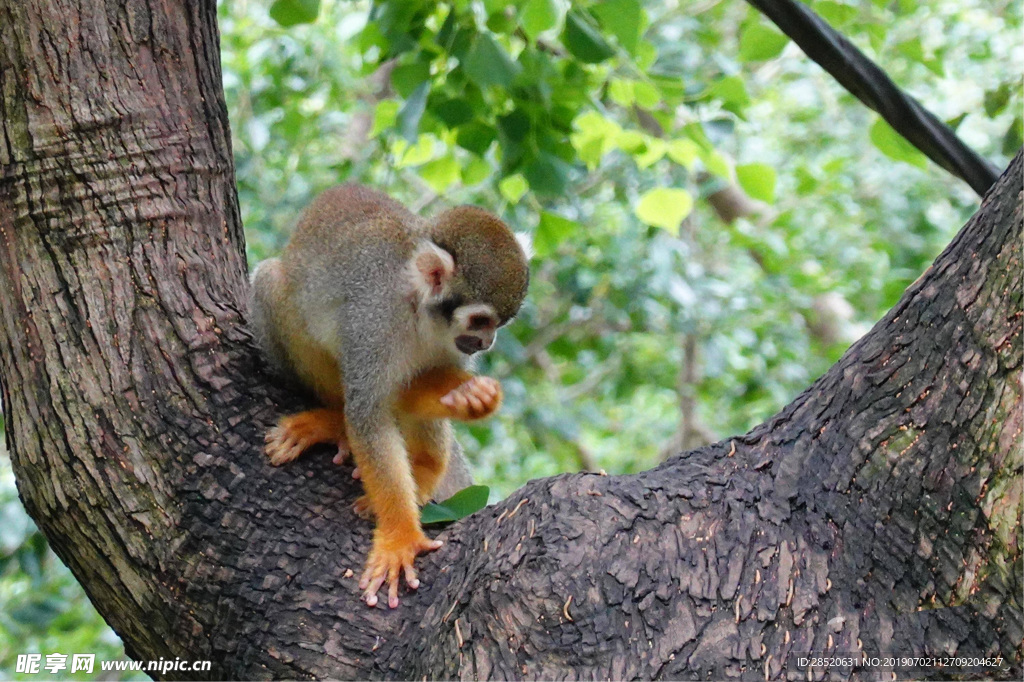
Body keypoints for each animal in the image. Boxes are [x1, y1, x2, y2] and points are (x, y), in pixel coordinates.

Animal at [247, 184, 528, 606]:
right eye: (480, 320)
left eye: (499, 324)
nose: (486, 342)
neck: (420, 311)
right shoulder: (375, 320)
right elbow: (369, 414)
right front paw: (400, 538)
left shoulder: (450, 345)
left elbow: (417, 386)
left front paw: (469, 400)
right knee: (272, 283)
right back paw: (333, 420)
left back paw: (425, 469)